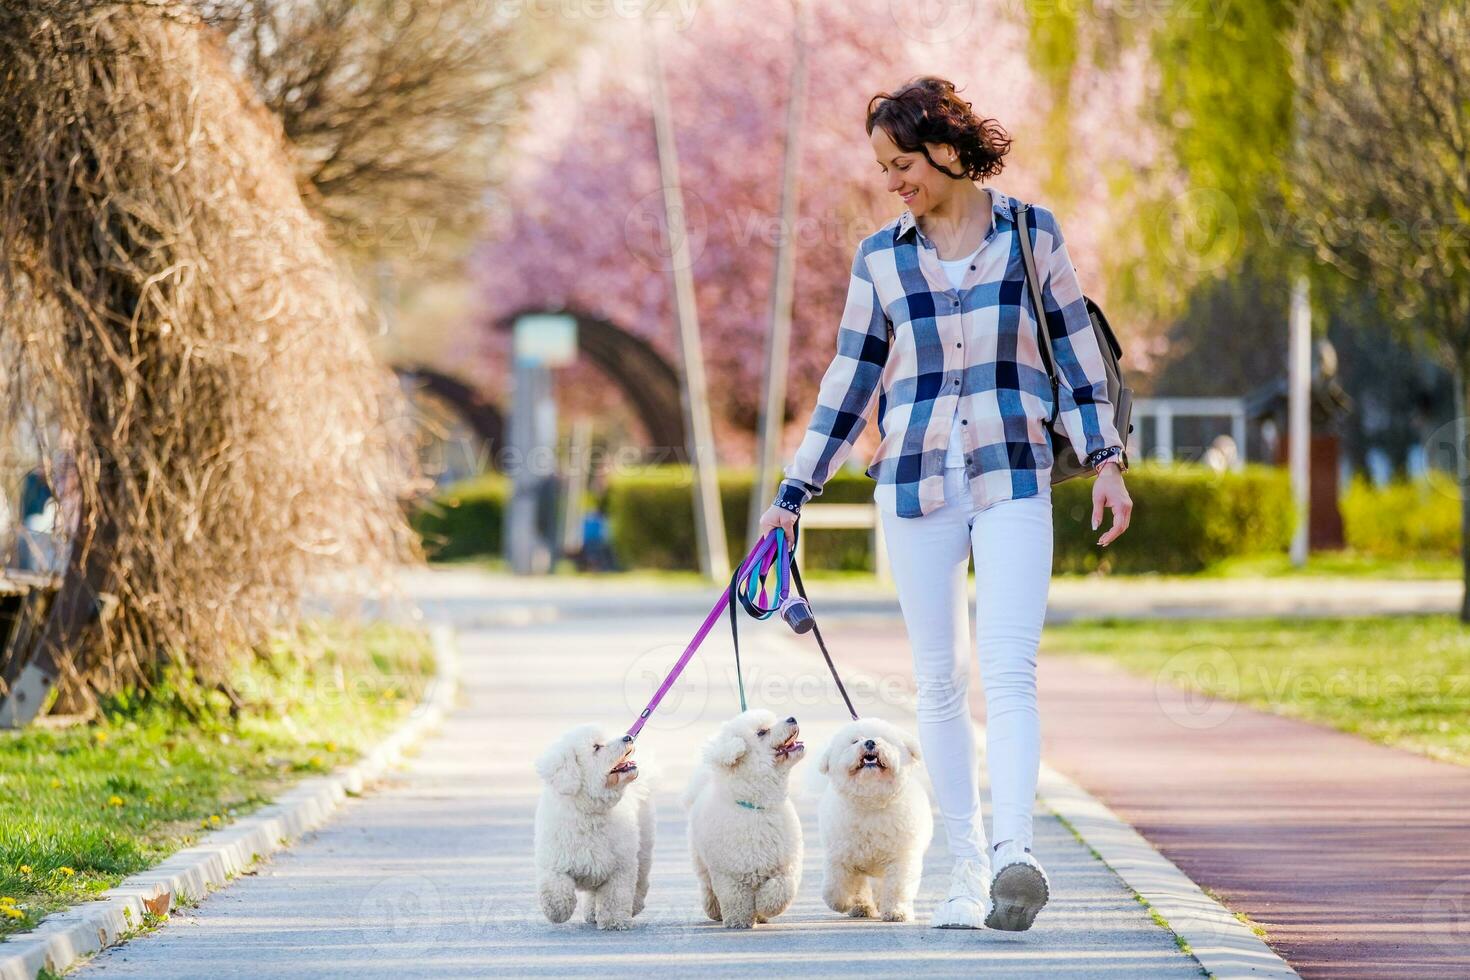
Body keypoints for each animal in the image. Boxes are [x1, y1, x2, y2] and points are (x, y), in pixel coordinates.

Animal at [535, 725, 655, 934]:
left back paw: (633, 906)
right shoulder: (555, 858)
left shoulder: (620, 866)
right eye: (596, 747)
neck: (590, 812)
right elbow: (555, 886)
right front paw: (558, 910)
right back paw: (591, 912)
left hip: (643, 847)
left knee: (640, 879)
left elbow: (616, 896)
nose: (628, 737)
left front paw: (615, 921)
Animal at [685, 714, 811, 928]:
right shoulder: (730, 873)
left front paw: (765, 906)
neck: (757, 807)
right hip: (701, 861)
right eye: (762, 732)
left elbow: (782, 889)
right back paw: (715, 911)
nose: (792, 718)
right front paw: (738, 921)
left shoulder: (785, 865)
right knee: (708, 886)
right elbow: (735, 898)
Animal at [817, 717, 929, 922]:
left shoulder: (901, 859)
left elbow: (898, 888)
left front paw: (897, 911)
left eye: (883, 738)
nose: (870, 742)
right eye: (854, 741)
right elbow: (835, 888)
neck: (870, 802)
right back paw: (861, 907)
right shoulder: (840, 855)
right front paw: (844, 902)